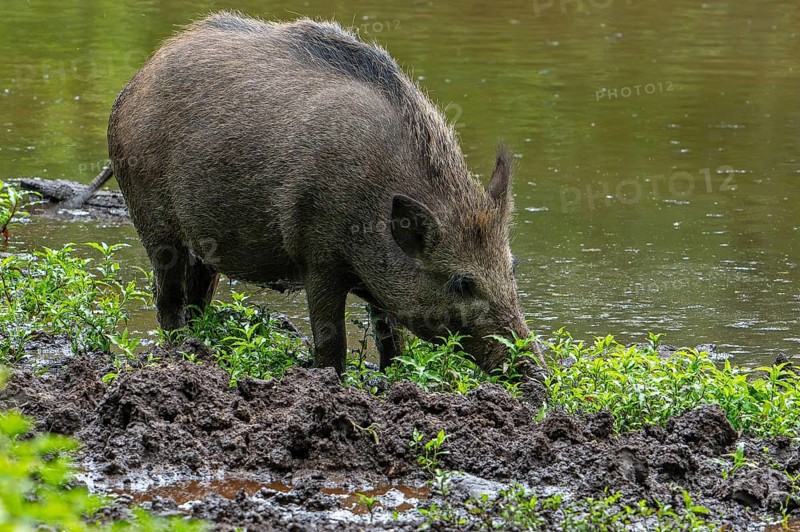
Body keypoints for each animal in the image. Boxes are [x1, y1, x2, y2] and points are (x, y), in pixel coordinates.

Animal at [105, 12, 531, 375]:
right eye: (462, 283)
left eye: (511, 266)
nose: (536, 376)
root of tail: (134, 82)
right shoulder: (318, 257)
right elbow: (331, 340)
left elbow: (392, 340)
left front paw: (391, 379)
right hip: (153, 222)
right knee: (168, 297)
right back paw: (181, 351)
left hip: (203, 244)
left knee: (198, 297)